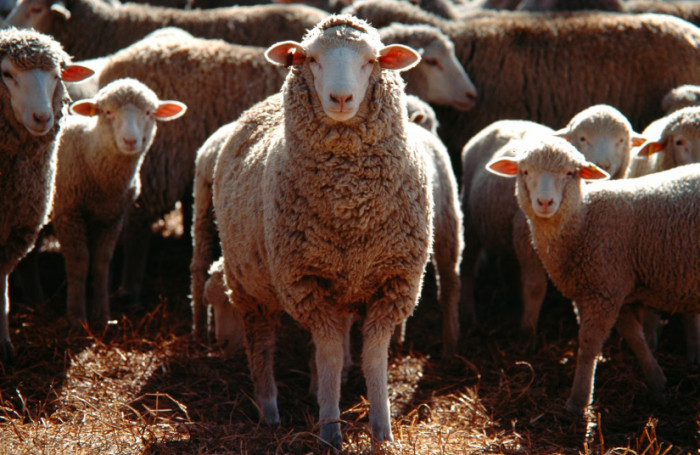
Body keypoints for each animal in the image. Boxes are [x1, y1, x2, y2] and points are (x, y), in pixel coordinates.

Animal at [51, 78, 185, 327]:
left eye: (149, 112)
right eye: (107, 112)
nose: (130, 141)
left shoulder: (113, 217)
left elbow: (102, 262)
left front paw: (103, 317)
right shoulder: (68, 212)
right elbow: (79, 263)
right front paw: (76, 317)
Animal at [212, 15, 432, 448]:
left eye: (371, 60)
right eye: (311, 58)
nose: (341, 98)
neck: (351, 204)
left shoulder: (394, 281)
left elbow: (373, 357)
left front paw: (382, 430)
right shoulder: (306, 282)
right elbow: (328, 354)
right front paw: (330, 430)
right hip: (249, 285)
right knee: (261, 345)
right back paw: (269, 411)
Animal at [462, 106, 644, 336]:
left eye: (621, 140)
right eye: (582, 138)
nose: (602, 165)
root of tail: (508, 120)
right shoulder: (526, 240)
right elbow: (535, 286)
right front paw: (528, 330)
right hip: (469, 218)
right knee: (467, 266)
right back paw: (469, 316)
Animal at [486, 137, 700, 417]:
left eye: (570, 173)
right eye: (525, 172)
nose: (544, 202)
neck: (584, 219)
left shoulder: (603, 289)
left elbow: (588, 344)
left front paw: (578, 401)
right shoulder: (612, 287)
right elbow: (634, 336)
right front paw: (657, 382)